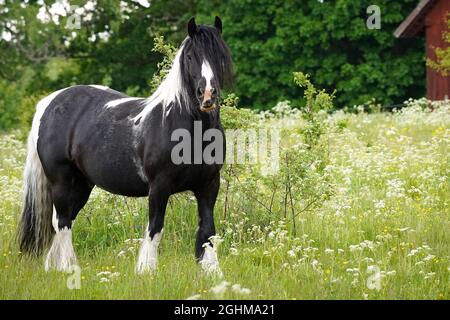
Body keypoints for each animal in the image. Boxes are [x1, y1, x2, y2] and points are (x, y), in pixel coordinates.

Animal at [19, 16, 234, 274]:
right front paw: (146, 271)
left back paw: (56, 268)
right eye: (191, 56)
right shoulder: (159, 186)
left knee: (62, 220)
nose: (207, 95)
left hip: (81, 184)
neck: (182, 123)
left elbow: (208, 231)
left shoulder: (209, 185)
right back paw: (71, 268)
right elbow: (155, 229)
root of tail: (49, 103)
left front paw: (213, 273)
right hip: (61, 180)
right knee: (62, 222)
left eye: (220, 54)